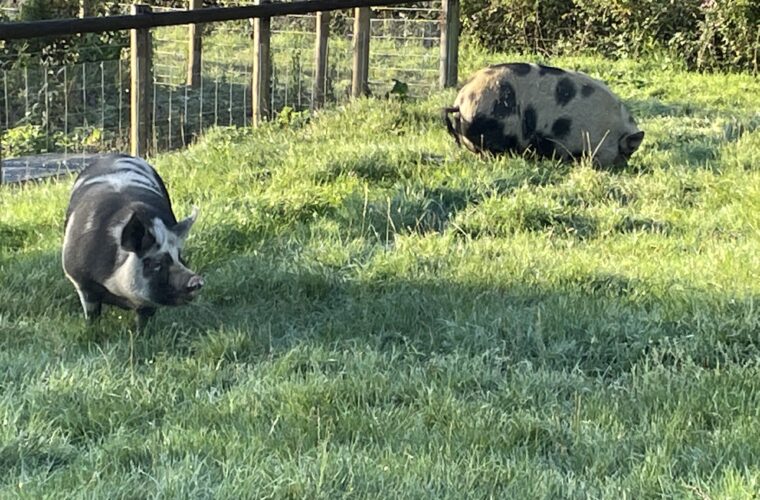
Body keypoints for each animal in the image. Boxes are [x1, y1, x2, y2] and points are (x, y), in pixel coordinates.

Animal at [62, 153, 204, 330]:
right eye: (155, 263)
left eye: (180, 256)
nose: (196, 280)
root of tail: (115, 155)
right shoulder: (81, 281)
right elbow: (92, 313)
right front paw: (92, 329)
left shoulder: (148, 303)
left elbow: (144, 321)